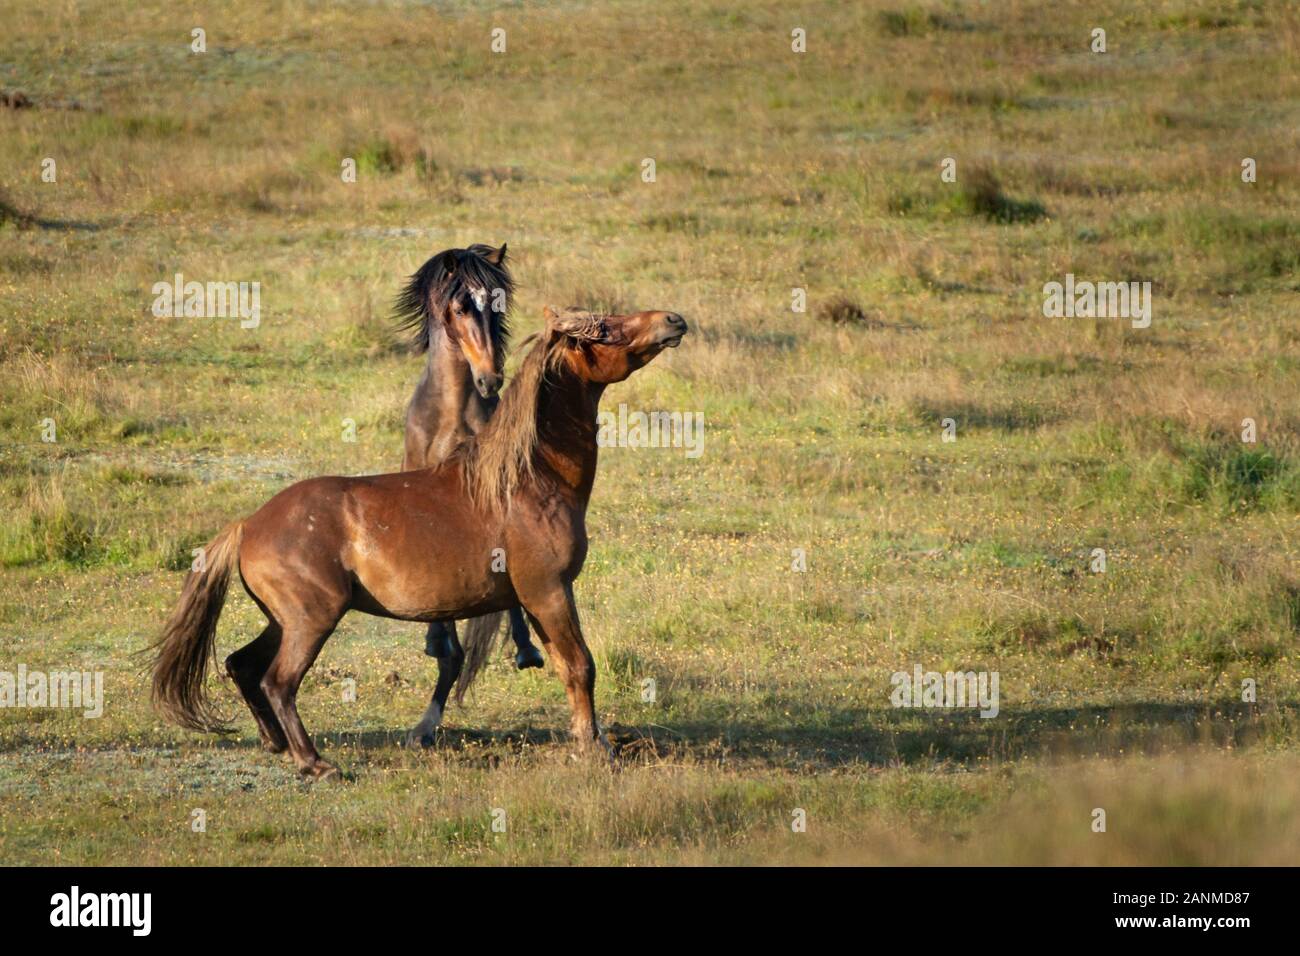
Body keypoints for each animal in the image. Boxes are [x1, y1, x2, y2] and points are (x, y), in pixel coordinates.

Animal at [152, 306, 691, 780]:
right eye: (605, 328)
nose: (673, 320)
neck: (526, 480)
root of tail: (249, 525)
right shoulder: (548, 591)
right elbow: (581, 666)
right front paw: (597, 751)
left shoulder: (541, 598)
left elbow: (564, 666)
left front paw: (589, 741)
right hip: (310, 622)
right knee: (278, 682)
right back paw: (314, 763)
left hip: (282, 621)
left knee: (241, 665)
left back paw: (276, 744)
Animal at [390, 240, 543, 749]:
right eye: (460, 307)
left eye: (498, 304)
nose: (490, 378)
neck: (453, 414)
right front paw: (437, 639)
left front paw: (526, 647)